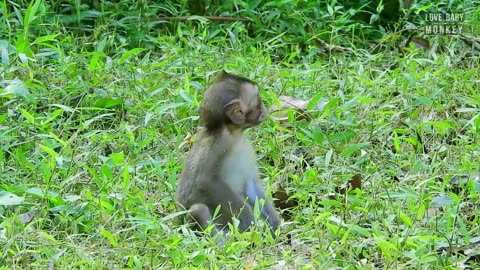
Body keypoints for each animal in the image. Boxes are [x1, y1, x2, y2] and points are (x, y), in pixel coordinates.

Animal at [176, 70, 282, 239]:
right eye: (258, 100)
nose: (265, 108)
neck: (234, 134)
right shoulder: (219, 144)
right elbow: (206, 180)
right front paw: (248, 220)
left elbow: (251, 186)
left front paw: (273, 226)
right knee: (198, 210)